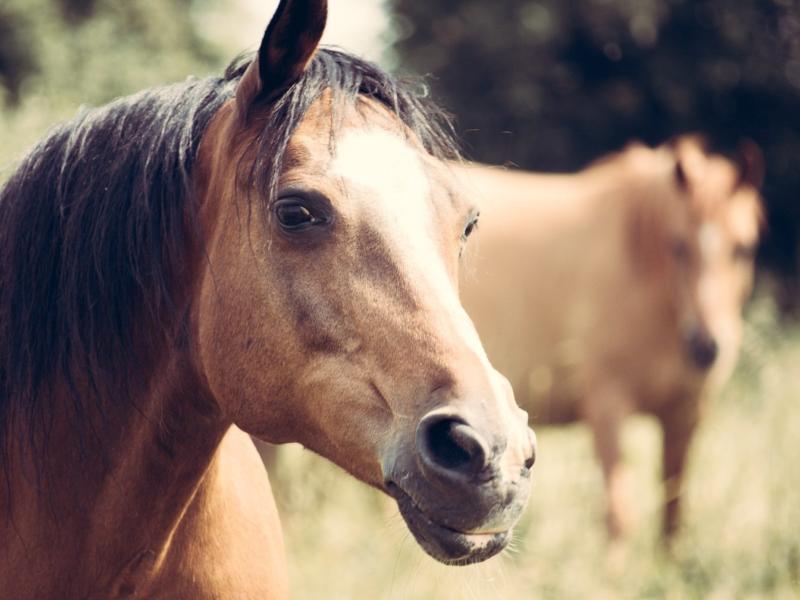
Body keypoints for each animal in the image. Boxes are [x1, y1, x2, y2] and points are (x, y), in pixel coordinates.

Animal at [456, 135, 764, 540]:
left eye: (744, 249)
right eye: (678, 245)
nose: (706, 347)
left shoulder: (685, 413)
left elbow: (673, 514)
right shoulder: (607, 407)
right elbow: (619, 516)